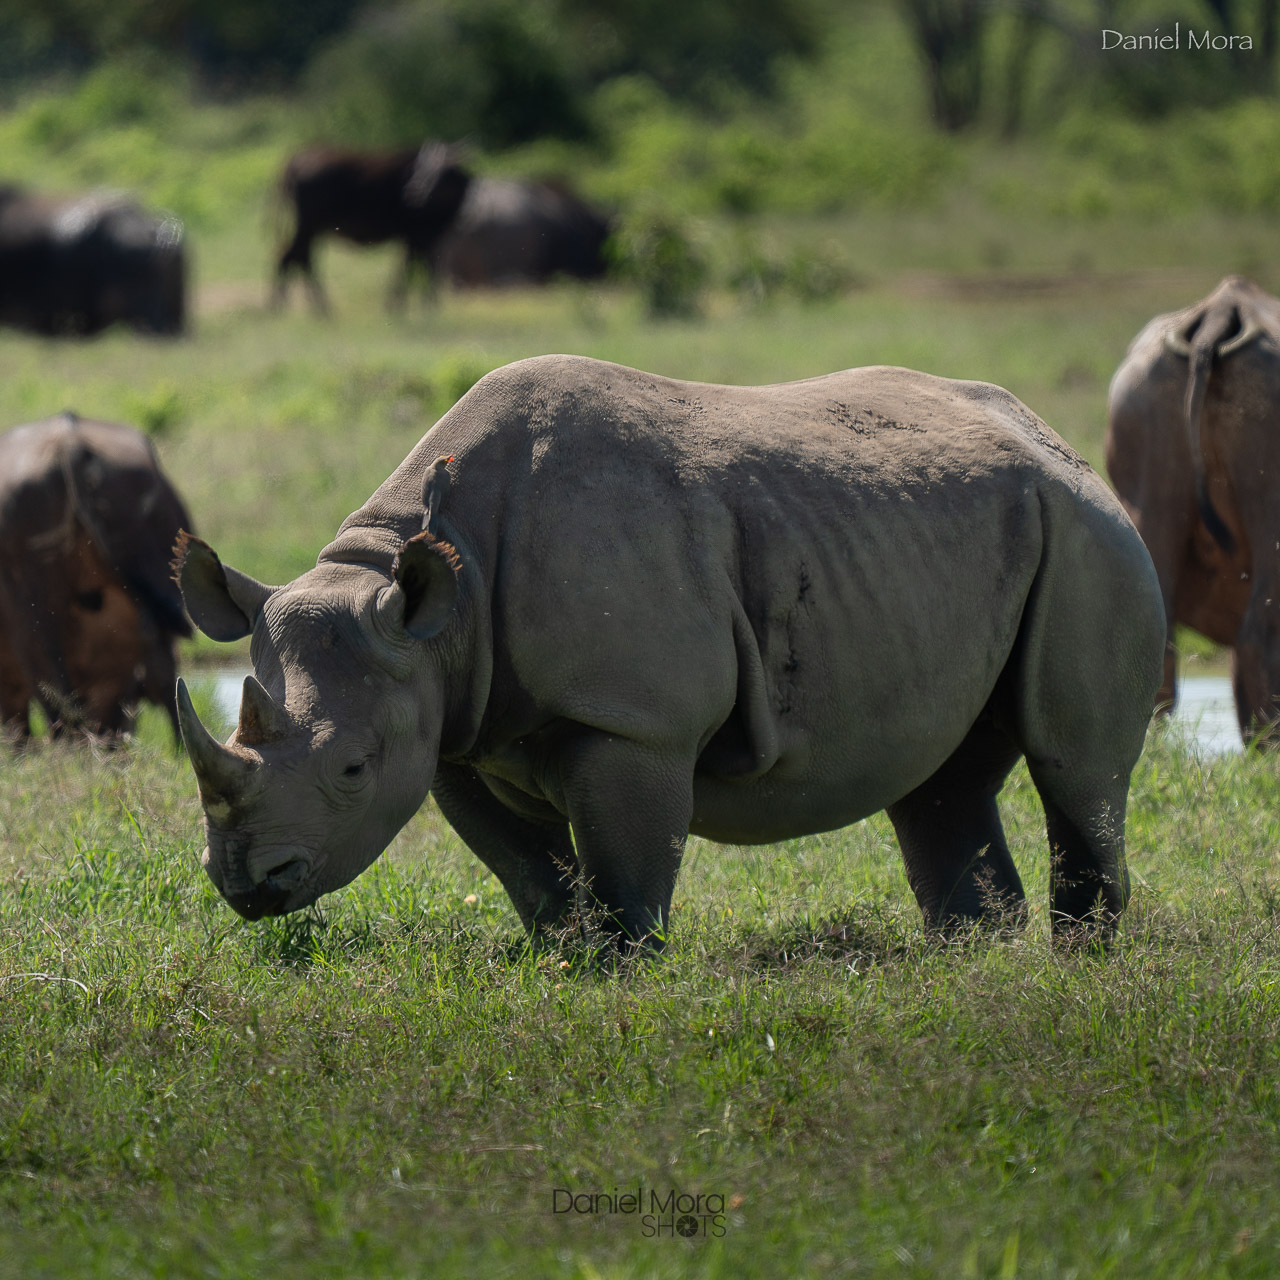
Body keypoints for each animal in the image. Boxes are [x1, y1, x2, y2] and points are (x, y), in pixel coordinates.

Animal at [175, 355, 1164, 949]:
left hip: (1091, 534)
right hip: (966, 542)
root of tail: (1056, 440)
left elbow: (627, 868)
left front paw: (623, 968)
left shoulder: (634, 719)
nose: (249, 886)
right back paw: (972, 960)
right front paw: (564, 959)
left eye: (350, 769)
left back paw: (1080, 961)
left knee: (1074, 767)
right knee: (942, 782)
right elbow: (526, 870)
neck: (429, 611)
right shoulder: (452, 722)